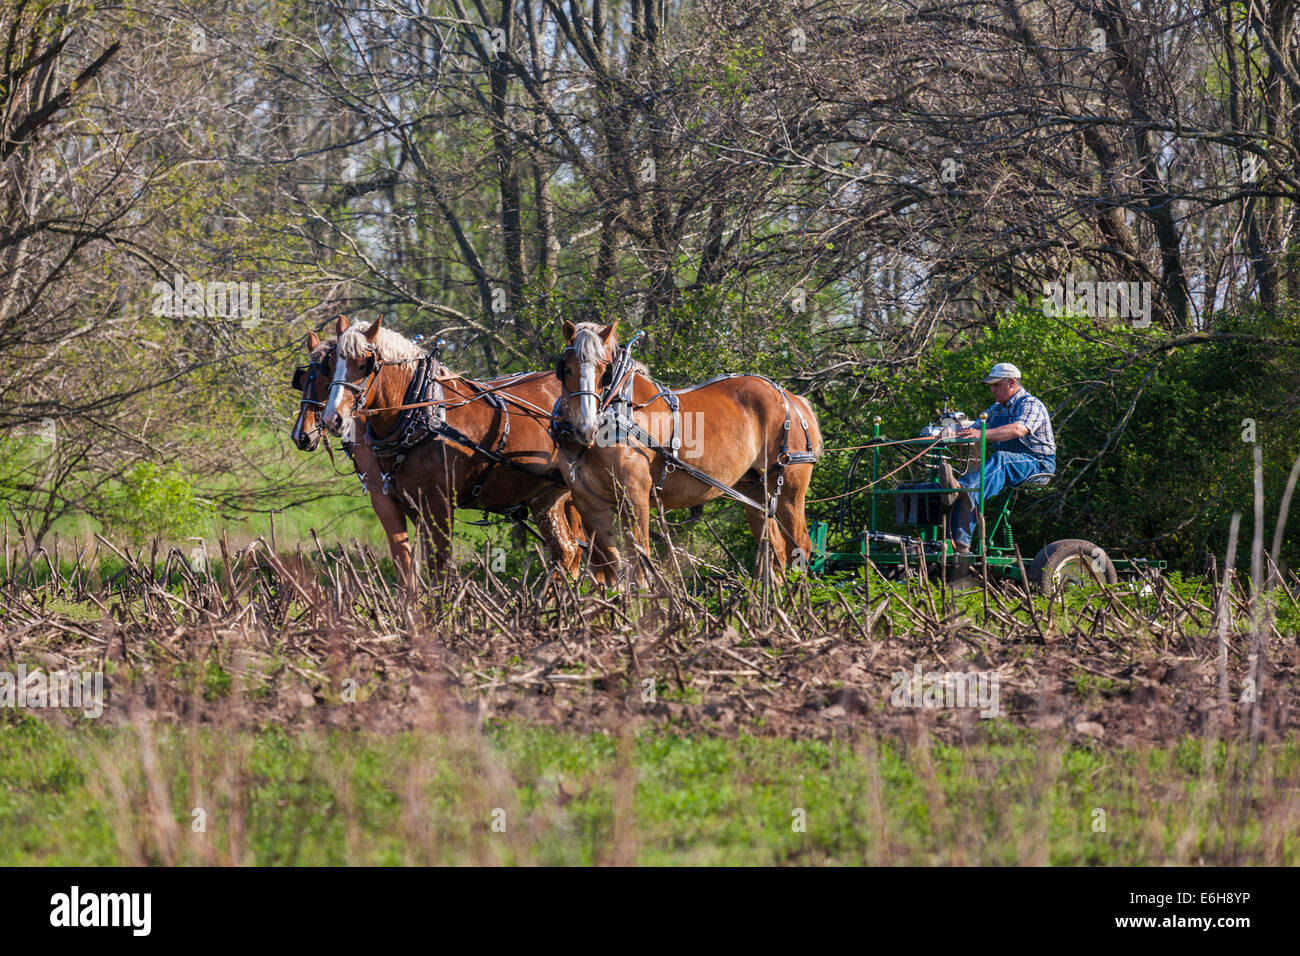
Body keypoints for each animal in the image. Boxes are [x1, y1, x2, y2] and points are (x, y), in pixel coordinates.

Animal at [316, 315, 587, 582]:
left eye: (365, 363)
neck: (421, 411)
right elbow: (409, 564)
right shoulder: (407, 503)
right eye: (330, 364)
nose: (332, 418)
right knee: (567, 550)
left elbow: (440, 567)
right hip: (546, 495)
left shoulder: (440, 503)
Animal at [553, 319, 822, 585]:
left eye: (604, 370)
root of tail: (792, 399)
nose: (586, 428)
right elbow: (611, 565)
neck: (617, 406)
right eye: (566, 370)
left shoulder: (635, 493)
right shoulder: (589, 503)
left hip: (789, 488)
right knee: (773, 551)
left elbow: (640, 563)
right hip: (756, 491)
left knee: (800, 547)